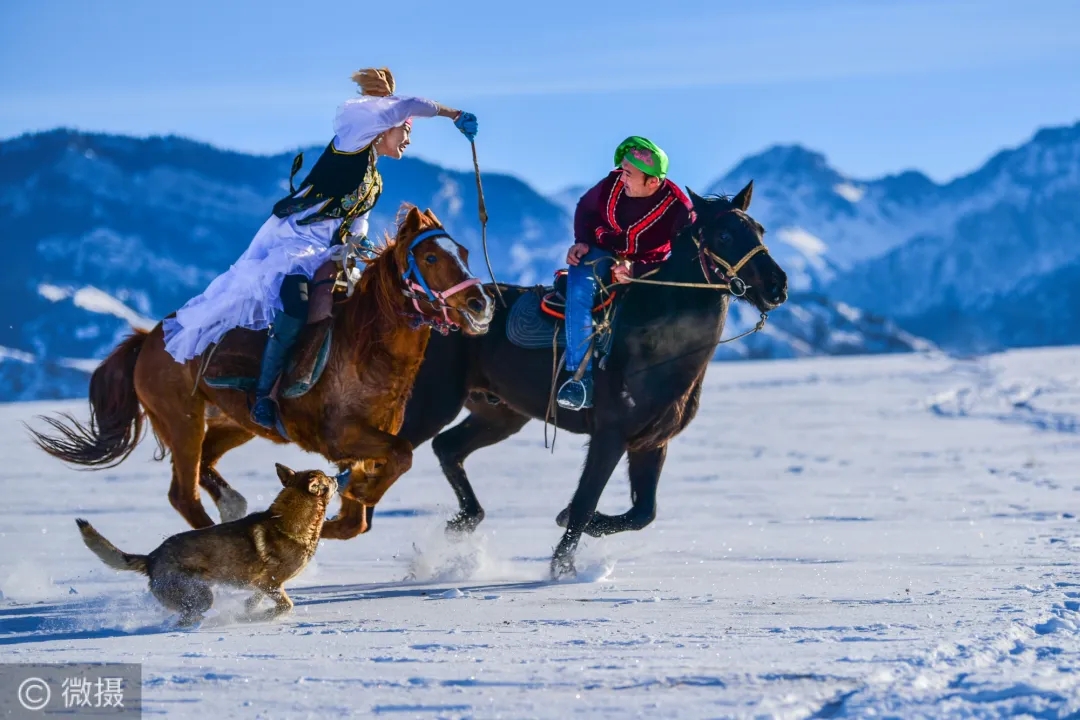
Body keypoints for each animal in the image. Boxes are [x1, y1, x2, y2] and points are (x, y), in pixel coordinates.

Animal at [29, 206, 494, 540]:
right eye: (430, 256)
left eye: (465, 254)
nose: (480, 303)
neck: (365, 351)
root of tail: (148, 339)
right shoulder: (343, 436)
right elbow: (401, 455)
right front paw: (360, 491)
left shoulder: (359, 446)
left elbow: (355, 519)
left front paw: (349, 499)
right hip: (182, 420)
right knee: (184, 495)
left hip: (234, 423)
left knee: (205, 468)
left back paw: (233, 507)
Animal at [394, 181, 789, 577]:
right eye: (724, 235)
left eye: (759, 230)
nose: (777, 285)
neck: (656, 345)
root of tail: (431, 312)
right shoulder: (609, 436)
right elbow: (585, 502)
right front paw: (561, 567)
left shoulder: (651, 443)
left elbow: (642, 513)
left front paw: (570, 525)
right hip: (434, 403)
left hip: (500, 414)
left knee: (447, 448)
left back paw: (462, 523)